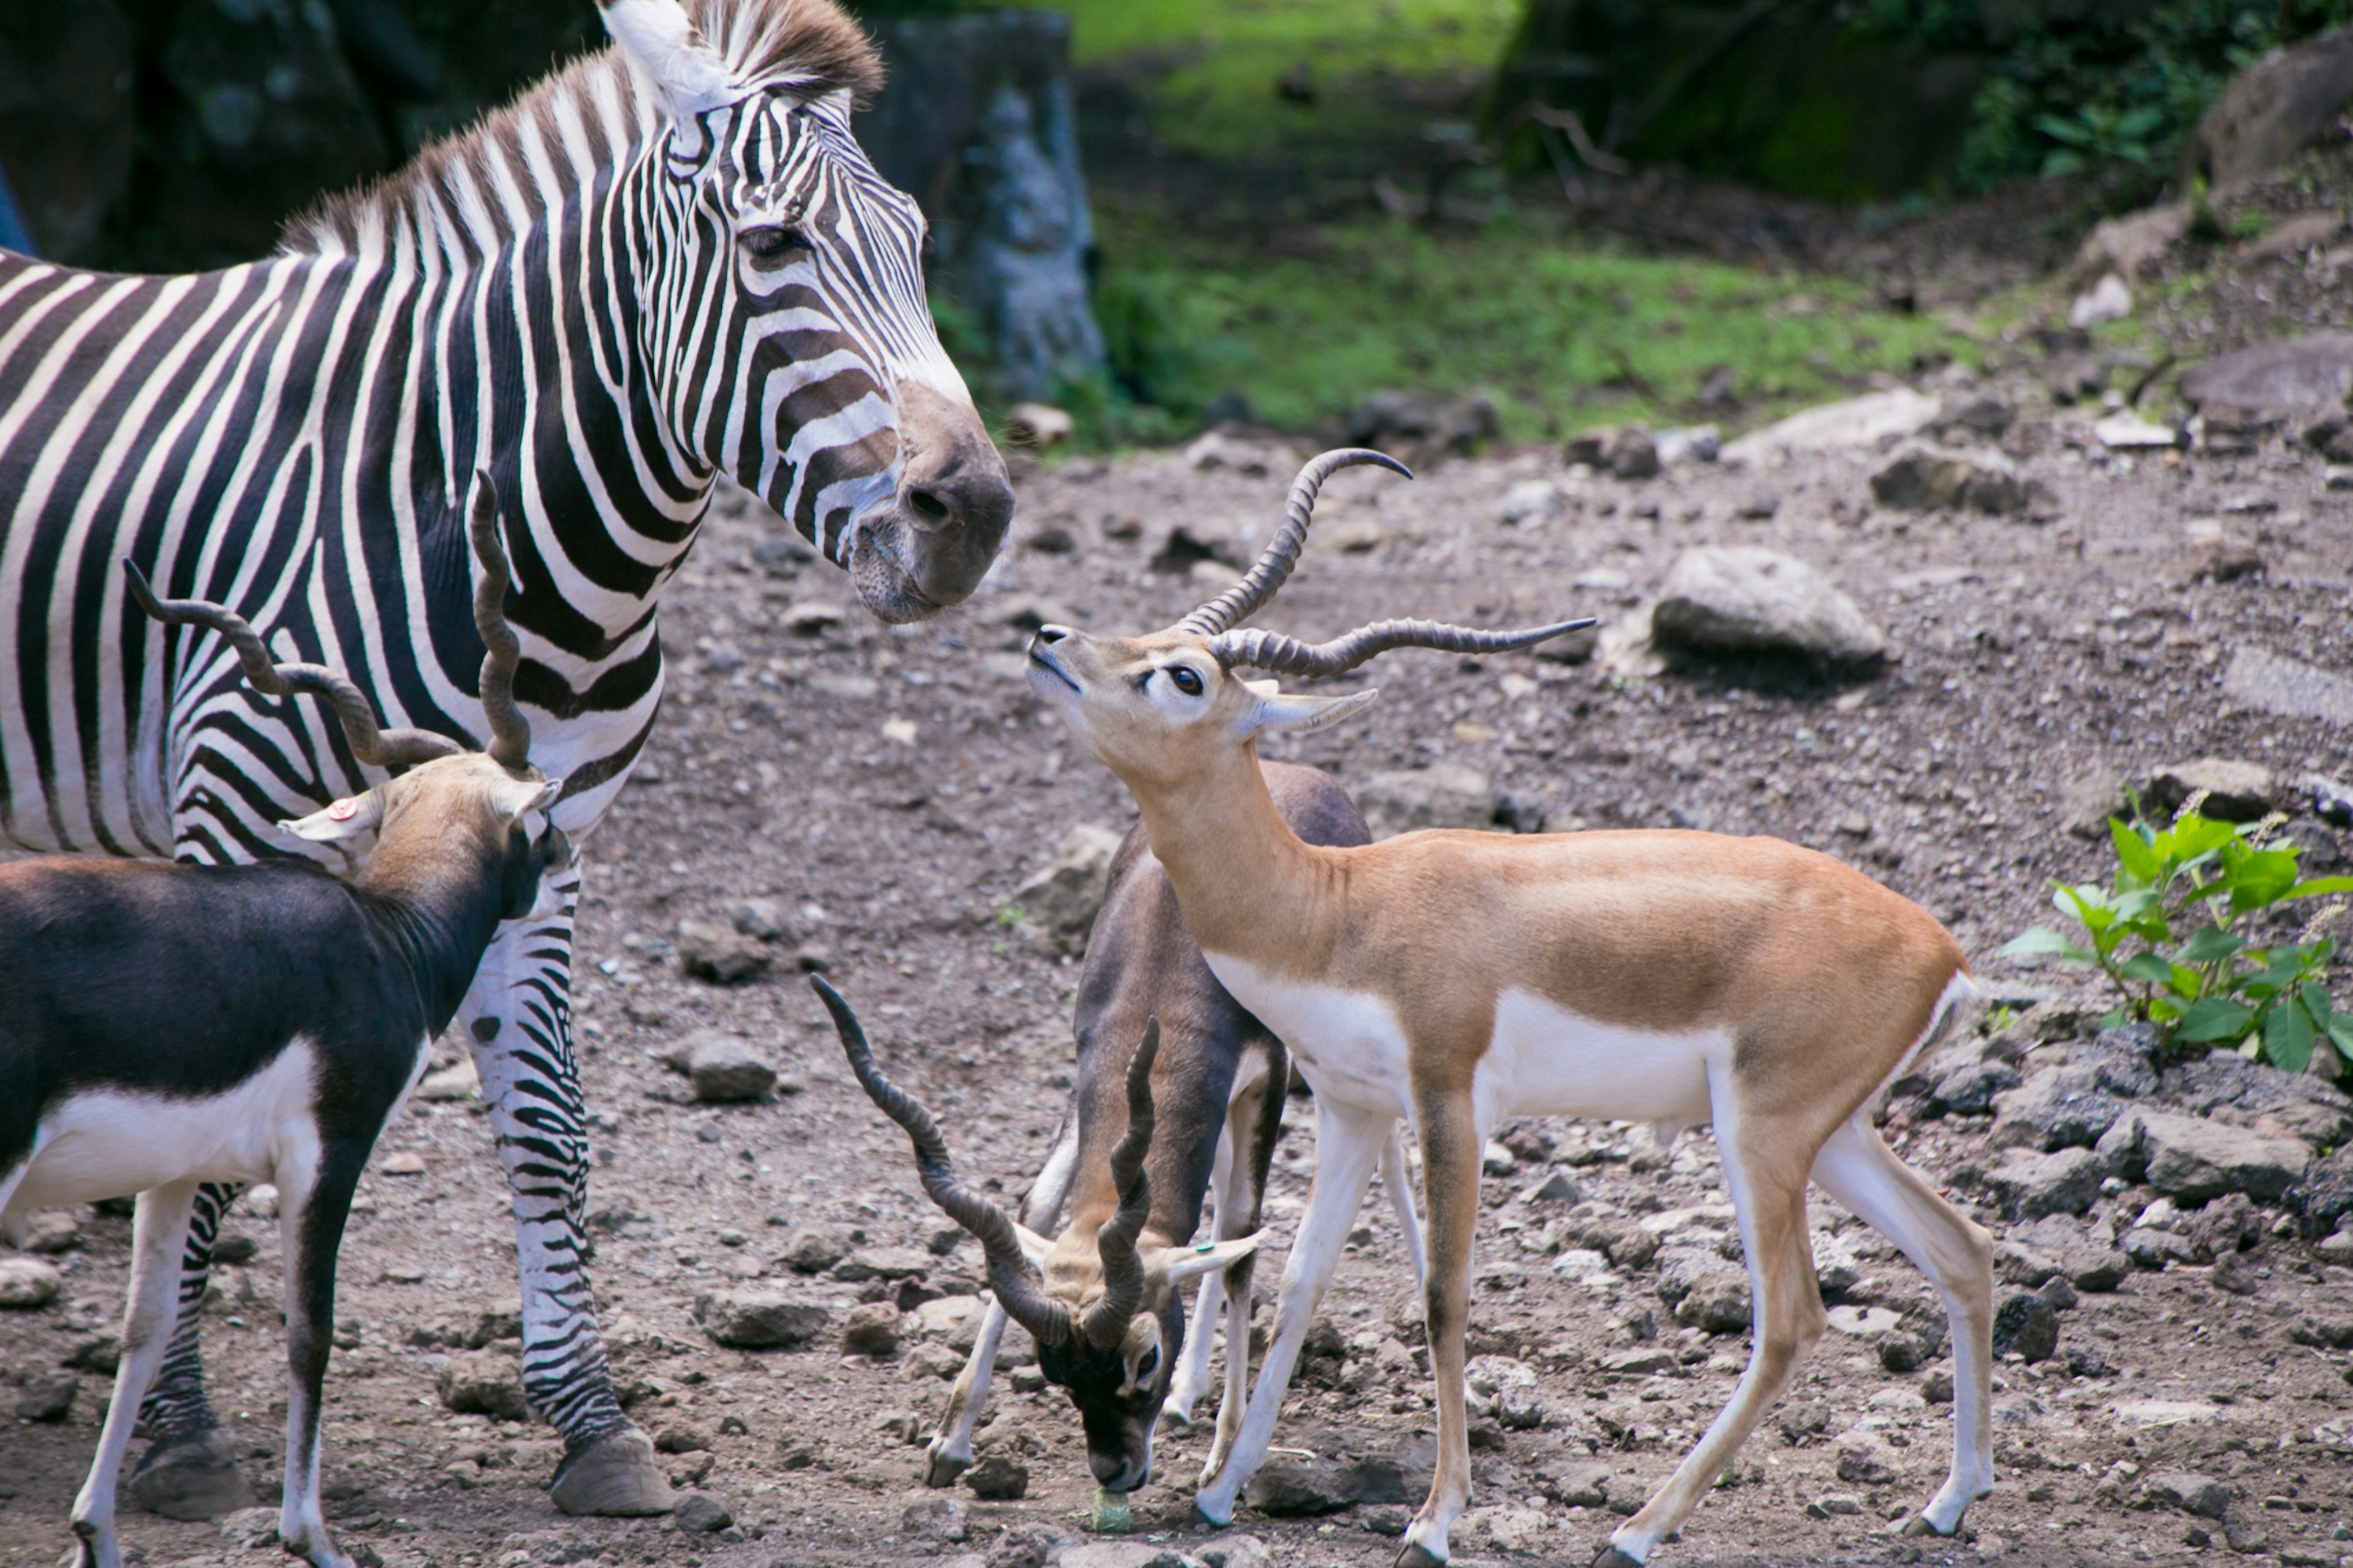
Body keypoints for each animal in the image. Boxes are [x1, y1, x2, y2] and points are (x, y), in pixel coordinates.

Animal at [1, 473, 569, 1563]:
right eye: (543, 821)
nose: (557, 864)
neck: (389, 933)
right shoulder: (328, 1152)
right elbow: (311, 1329)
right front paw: (312, 1533)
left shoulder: (173, 1171)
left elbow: (144, 1328)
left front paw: (96, 1527)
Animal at [875, 767, 1421, 1488]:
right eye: (1054, 1369)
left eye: (1145, 1356)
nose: (1114, 1471)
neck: (1164, 974)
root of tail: (1298, 773)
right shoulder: (1090, 1077)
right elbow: (1037, 1207)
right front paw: (951, 1439)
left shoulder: (1268, 1079)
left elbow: (1244, 1241)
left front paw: (1224, 1459)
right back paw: (1190, 1394)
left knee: (1385, 1159)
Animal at [1021, 445, 1995, 1553]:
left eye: (1183, 674)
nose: (1048, 637)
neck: (1337, 907)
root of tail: (1944, 952)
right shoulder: (1355, 1107)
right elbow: (1301, 1277)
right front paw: (1225, 1486)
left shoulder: (1450, 1100)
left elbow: (1443, 1293)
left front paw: (1436, 1518)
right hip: (1833, 1135)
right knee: (1963, 1250)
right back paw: (1951, 1497)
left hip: (1764, 1133)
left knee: (1792, 1315)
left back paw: (1639, 1529)